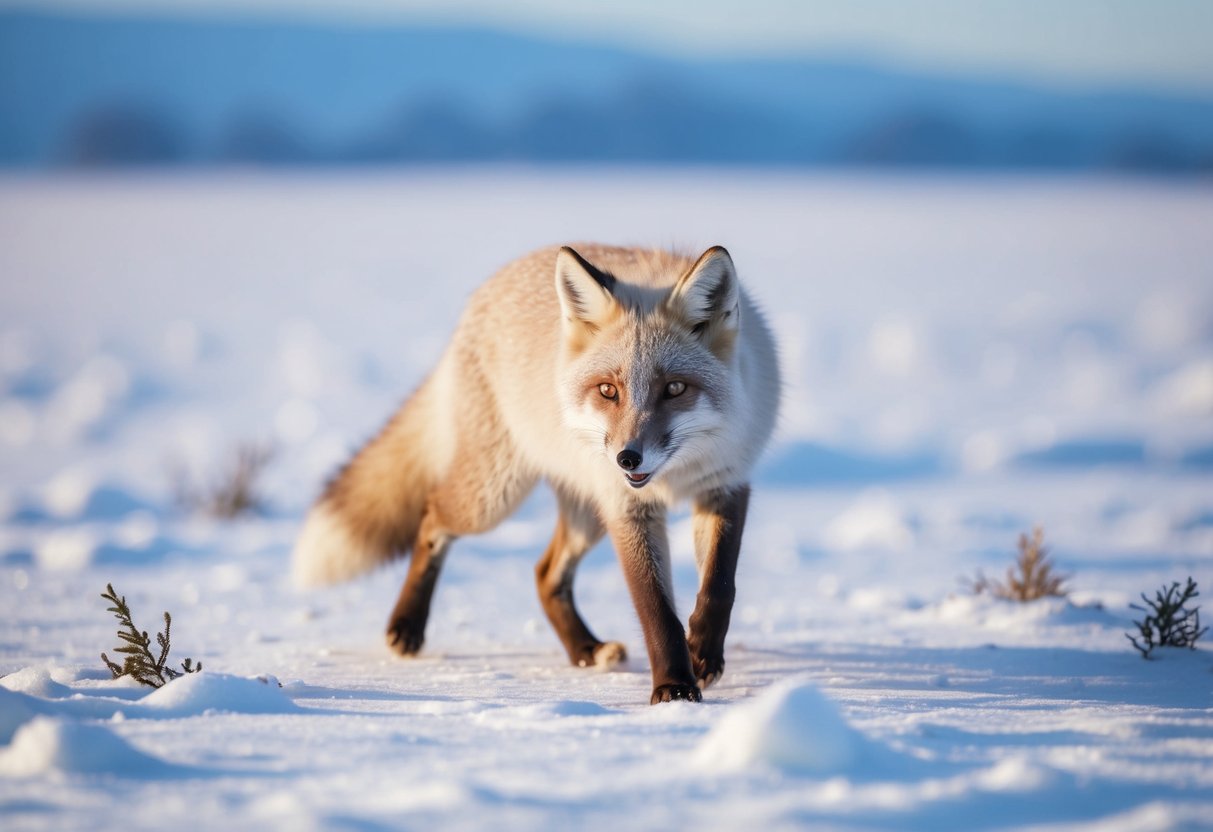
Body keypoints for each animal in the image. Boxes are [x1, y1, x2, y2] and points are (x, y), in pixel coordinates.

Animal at [293, 243, 780, 704]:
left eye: (675, 388)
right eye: (609, 390)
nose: (628, 458)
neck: (674, 475)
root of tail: (485, 291)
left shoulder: (725, 484)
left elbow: (719, 586)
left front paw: (703, 653)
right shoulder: (626, 507)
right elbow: (656, 609)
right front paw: (674, 690)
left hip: (585, 514)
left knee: (545, 574)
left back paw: (585, 651)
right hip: (494, 499)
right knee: (432, 518)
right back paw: (407, 626)